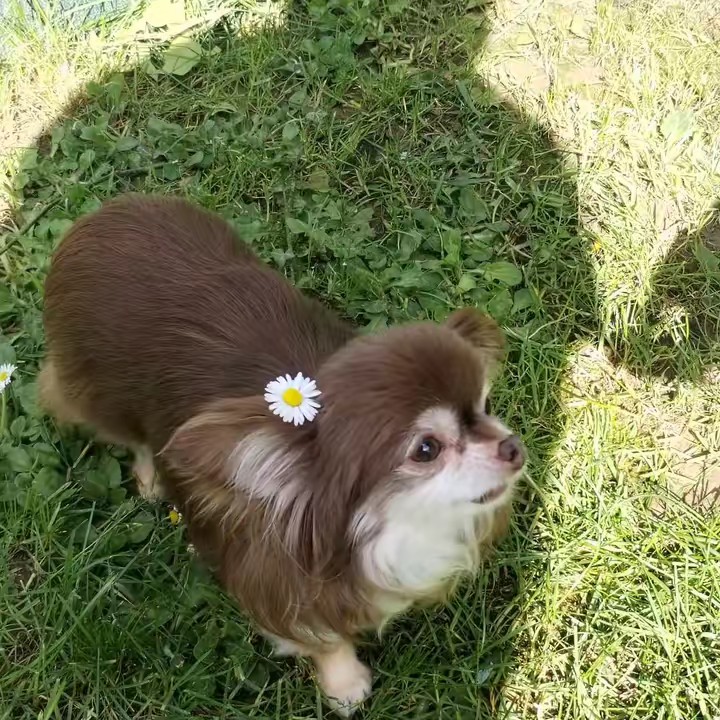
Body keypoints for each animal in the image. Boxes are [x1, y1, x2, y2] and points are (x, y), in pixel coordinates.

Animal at [40, 194, 525, 715]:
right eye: (427, 449)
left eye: (486, 406)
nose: (512, 446)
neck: (392, 532)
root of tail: (102, 216)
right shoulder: (279, 585)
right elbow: (324, 640)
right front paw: (345, 684)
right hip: (98, 395)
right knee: (129, 434)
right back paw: (151, 477)